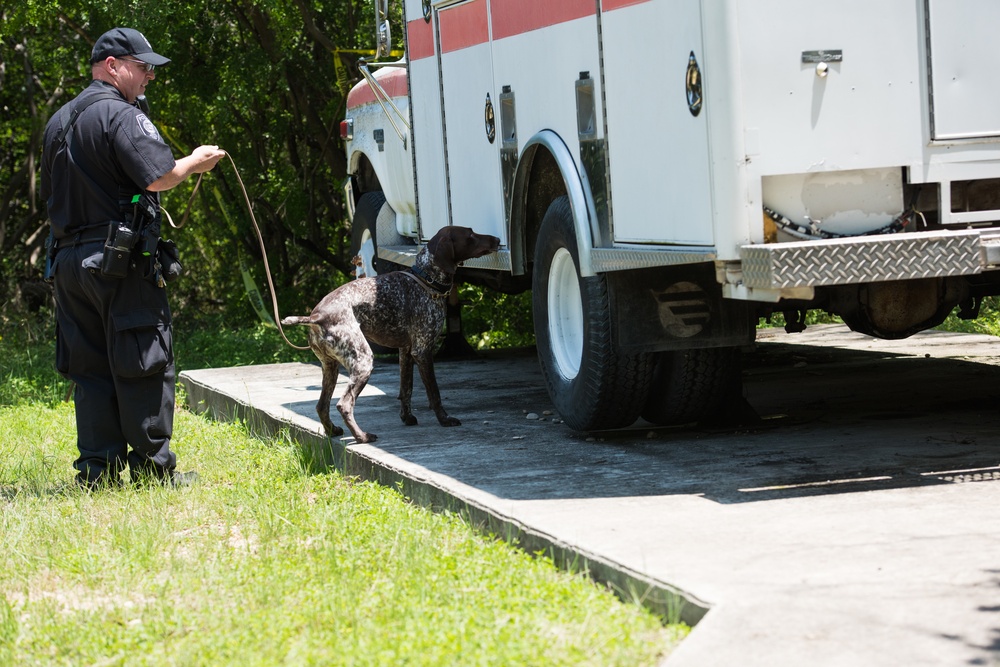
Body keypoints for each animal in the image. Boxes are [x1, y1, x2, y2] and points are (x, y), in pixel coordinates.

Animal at [282, 226, 500, 444]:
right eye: (470, 235)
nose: (497, 240)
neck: (426, 279)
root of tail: (316, 316)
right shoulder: (422, 351)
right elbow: (434, 393)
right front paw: (444, 419)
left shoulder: (406, 351)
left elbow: (406, 389)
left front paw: (408, 417)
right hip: (363, 361)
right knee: (344, 404)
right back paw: (362, 436)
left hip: (330, 367)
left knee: (322, 405)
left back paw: (333, 430)